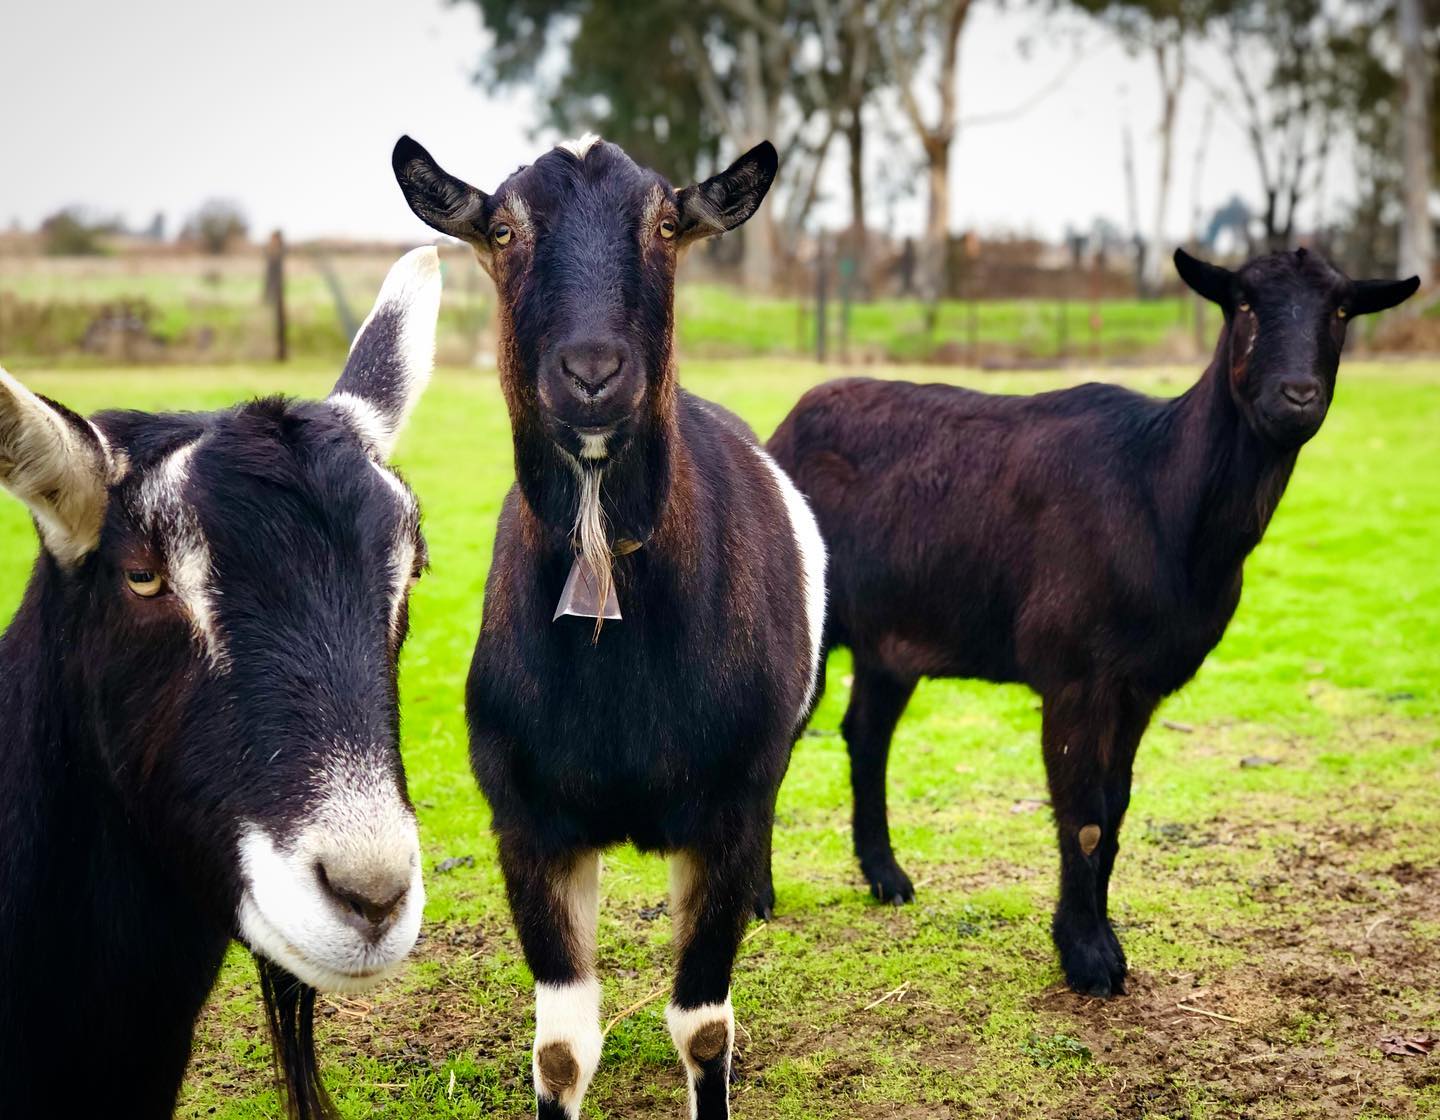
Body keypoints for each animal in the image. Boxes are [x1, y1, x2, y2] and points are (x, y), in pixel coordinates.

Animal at [393, 133, 825, 1119]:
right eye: (503, 229)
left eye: (666, 225)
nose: (592, 373)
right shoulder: (529, 823)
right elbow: (560, 1050)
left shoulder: (727, 810)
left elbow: (703, 1029)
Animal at [767, 248, 1417, 997]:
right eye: (1244, 304)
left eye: (1340, 309)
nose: (1298, 395)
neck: (1161, 492)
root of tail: (785, 426)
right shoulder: (1075, 670)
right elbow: (1080, 811)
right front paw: (1088, 957)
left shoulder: (1140, 684)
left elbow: (1114, 805)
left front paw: (1096, 936)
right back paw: (760, 898)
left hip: (892, 636)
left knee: (867, 734)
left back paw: (886, 876)